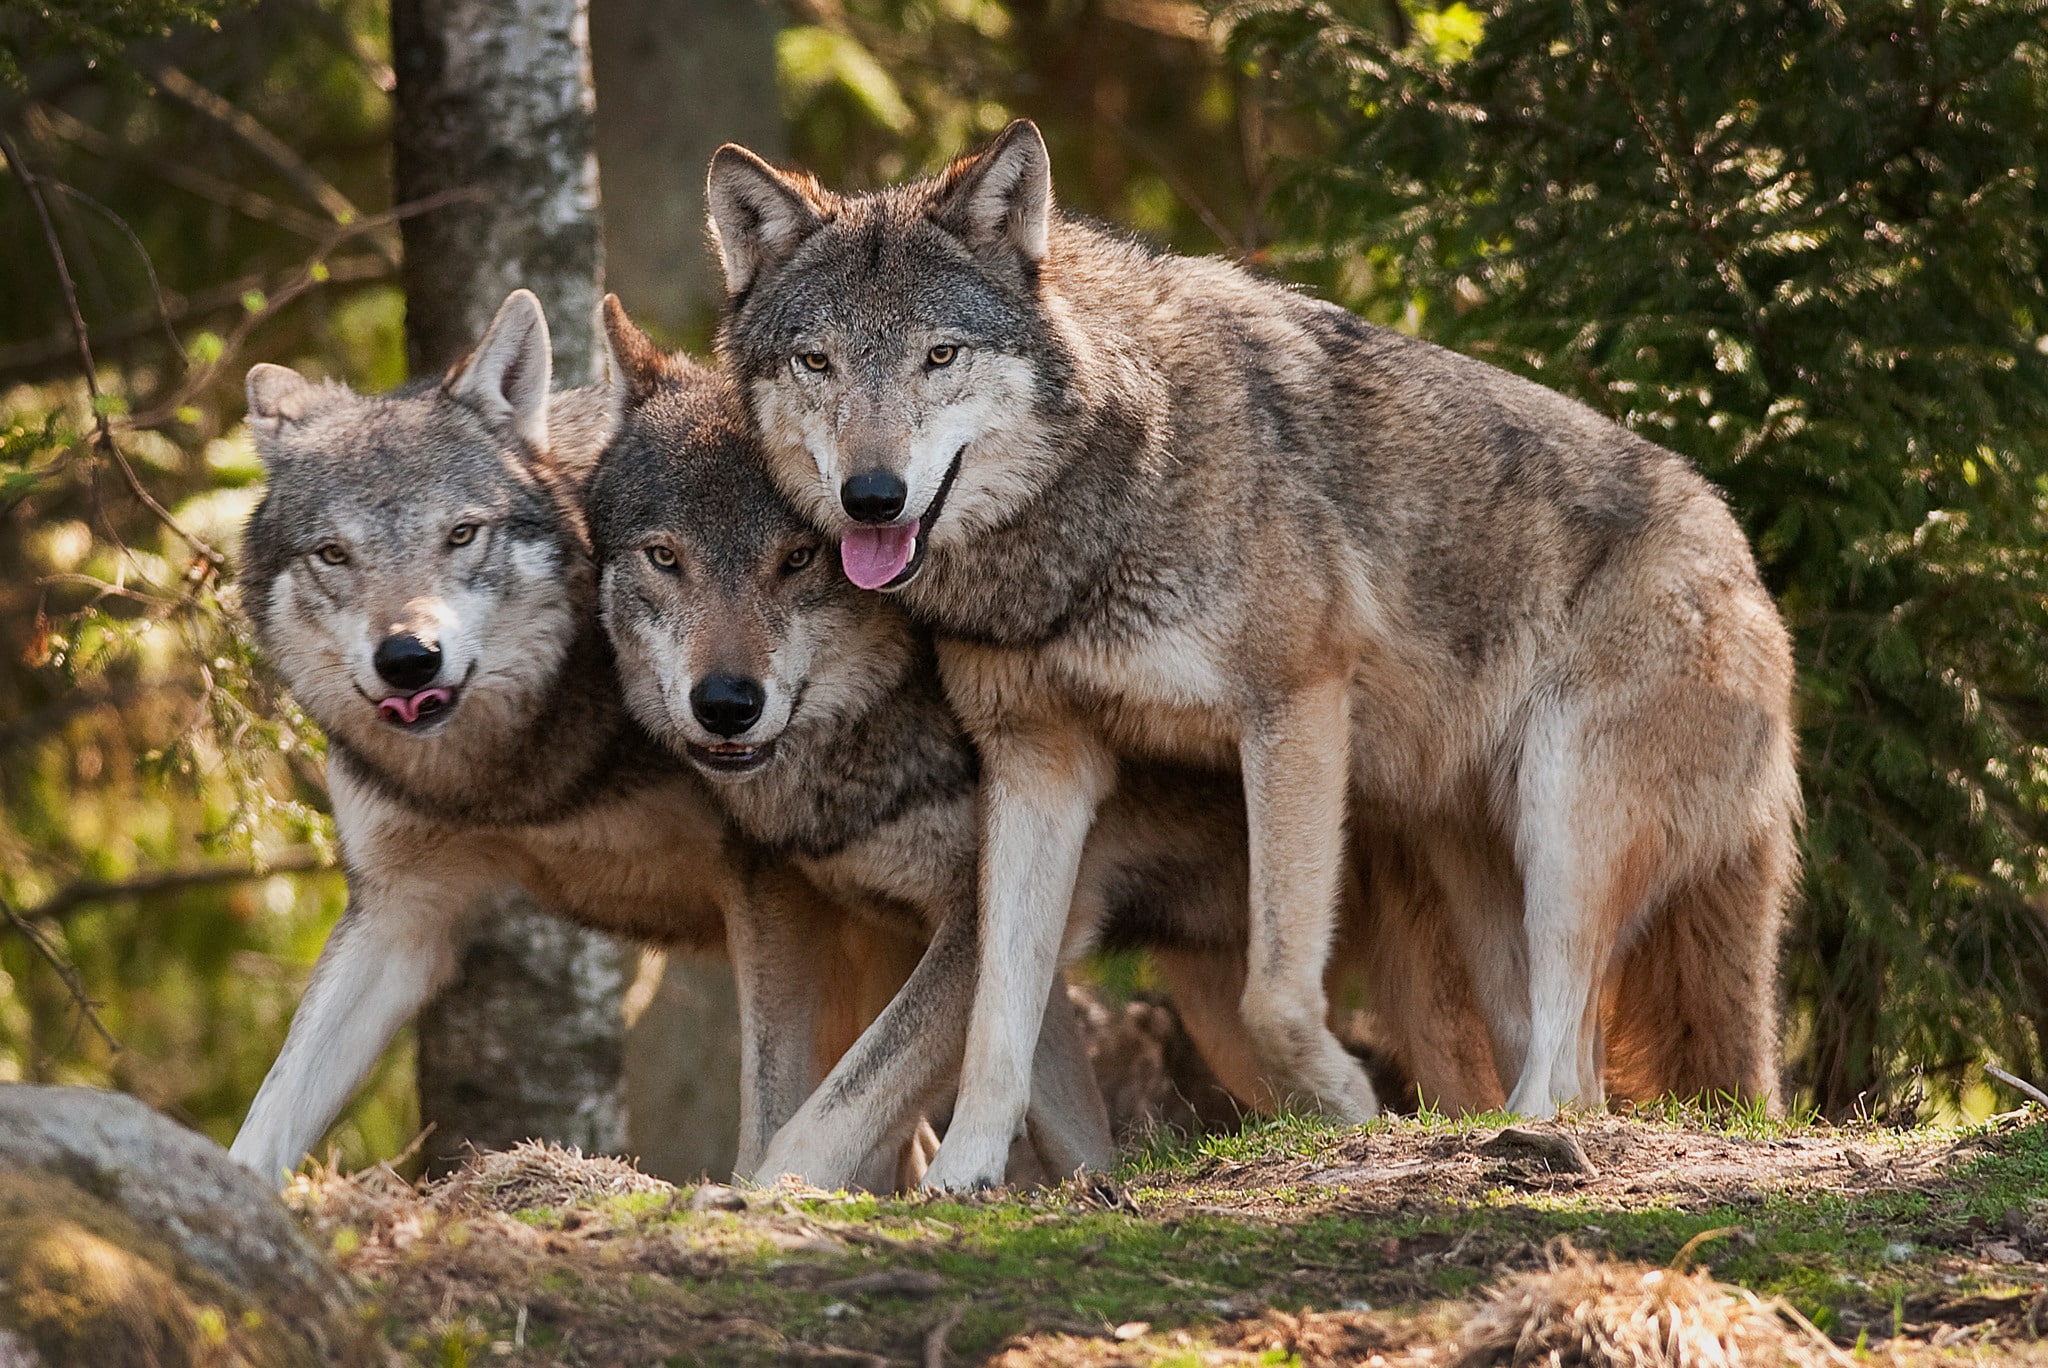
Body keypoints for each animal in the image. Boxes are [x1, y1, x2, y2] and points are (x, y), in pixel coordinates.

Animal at [228, 290, 892, 1187]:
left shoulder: (767, 884)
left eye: (462, 534)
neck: (516, 781)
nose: (407, 659)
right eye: (334, 554)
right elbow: (267, 1115)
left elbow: (770, 1107)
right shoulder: (400, 913)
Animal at [712, 120, 1802, 1187]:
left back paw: (1515, 1138)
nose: (872, 497)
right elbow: (995, 1017)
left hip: (1562, 822)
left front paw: (1344, 1105)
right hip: (1484, 874)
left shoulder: (1294, 705)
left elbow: (1274, 989)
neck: (1097, 507)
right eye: (817, 363)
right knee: (1569, 1062)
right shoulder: (1036, 761)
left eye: (939, 355)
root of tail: (1749, 566)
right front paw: (969, 1174)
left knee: (1570, 1066)